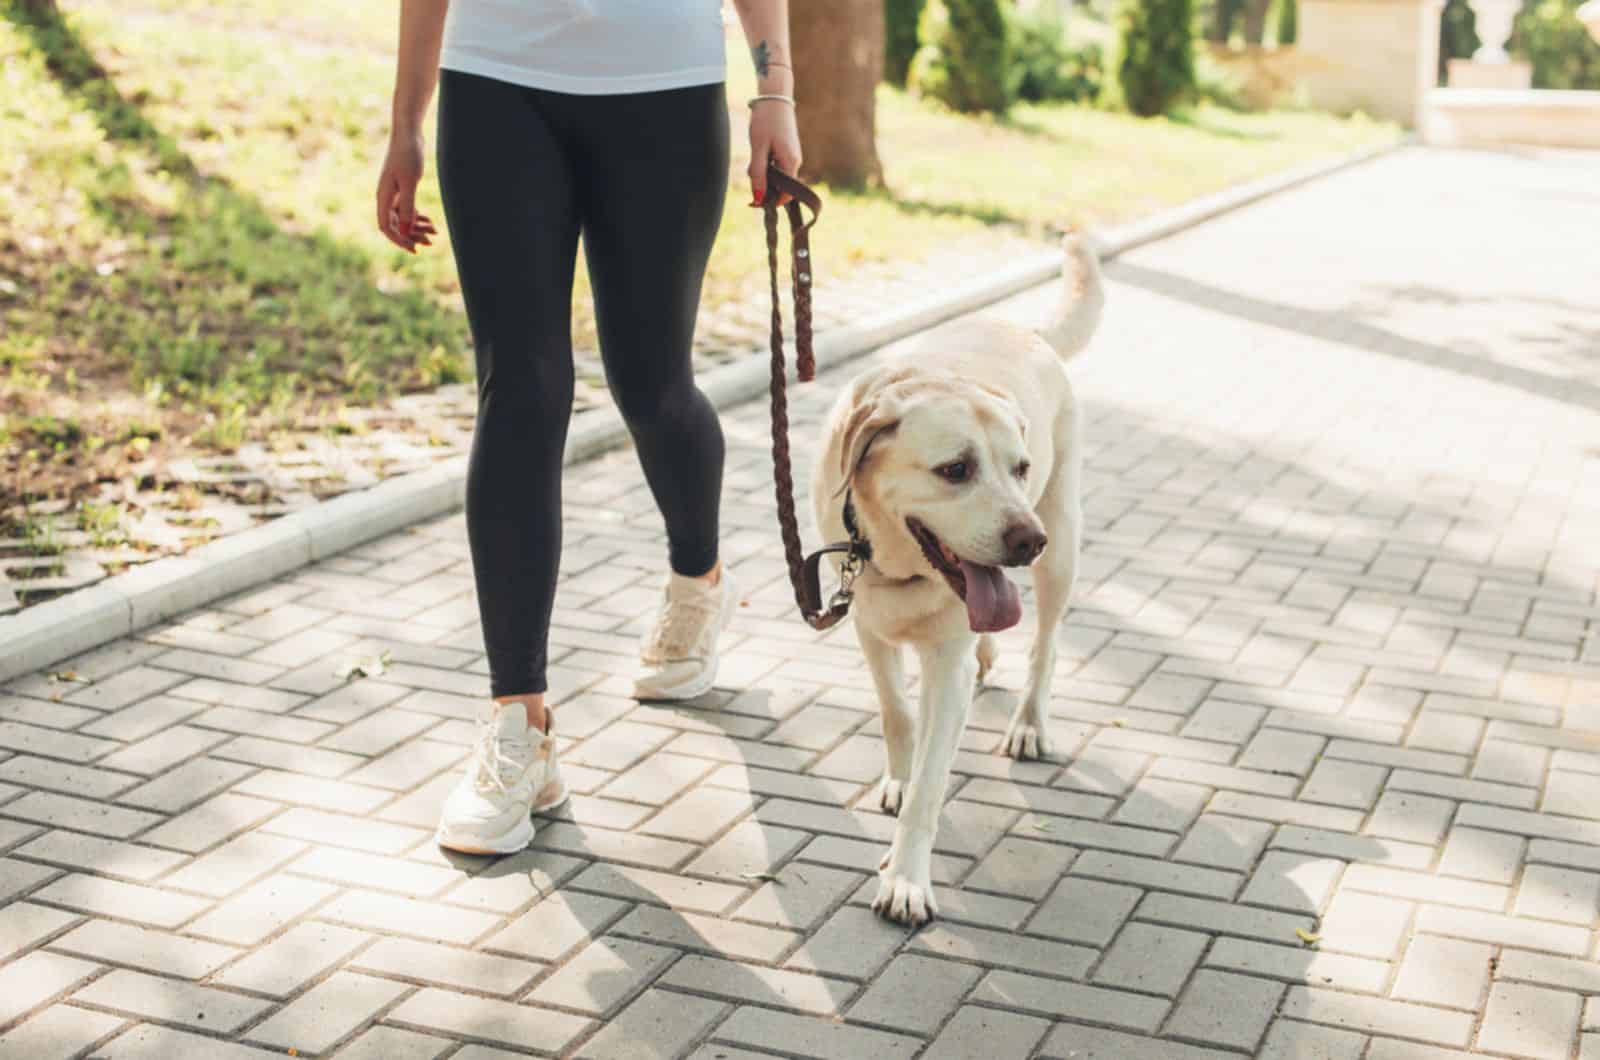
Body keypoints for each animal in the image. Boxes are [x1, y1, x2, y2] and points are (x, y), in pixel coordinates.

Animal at [812, 236, 1100, 928]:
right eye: (956, 469)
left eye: (1019, 467)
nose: (1027, 540)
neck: (893, 560)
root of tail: (1023, 329)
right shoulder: (868, 630)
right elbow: (896, 715)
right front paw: (896, 777)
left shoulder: (946, 665)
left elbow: (931, 784)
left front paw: (906, 878)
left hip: (1063, 548)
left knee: (1046, 645)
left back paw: (1030, 723)